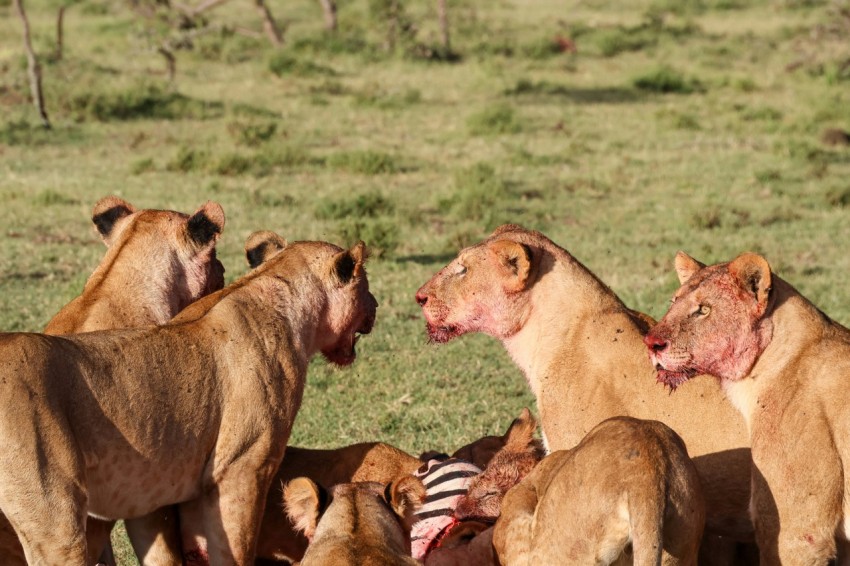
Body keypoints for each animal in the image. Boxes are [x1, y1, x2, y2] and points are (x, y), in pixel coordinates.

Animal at [0, 239, 374, 564]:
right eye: (365, 284)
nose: (377, 305)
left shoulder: (157, 495)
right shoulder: (240, 469)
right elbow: (233, 549)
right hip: (55, 519)